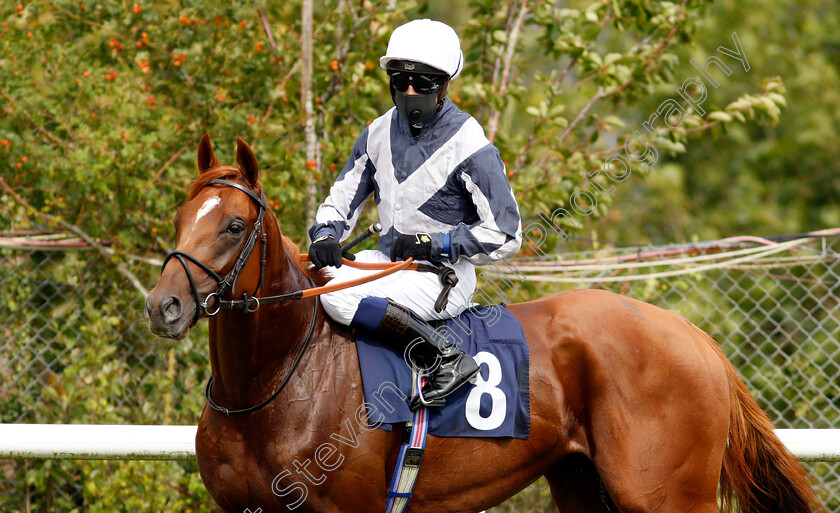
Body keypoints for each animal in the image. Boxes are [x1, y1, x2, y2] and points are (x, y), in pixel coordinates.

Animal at [148, 136, 824, 512]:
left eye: (234, 225)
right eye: (182, 216)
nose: (163, 305)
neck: (272, 387)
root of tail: (696, 339)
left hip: (667, 495)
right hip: (582, 480)